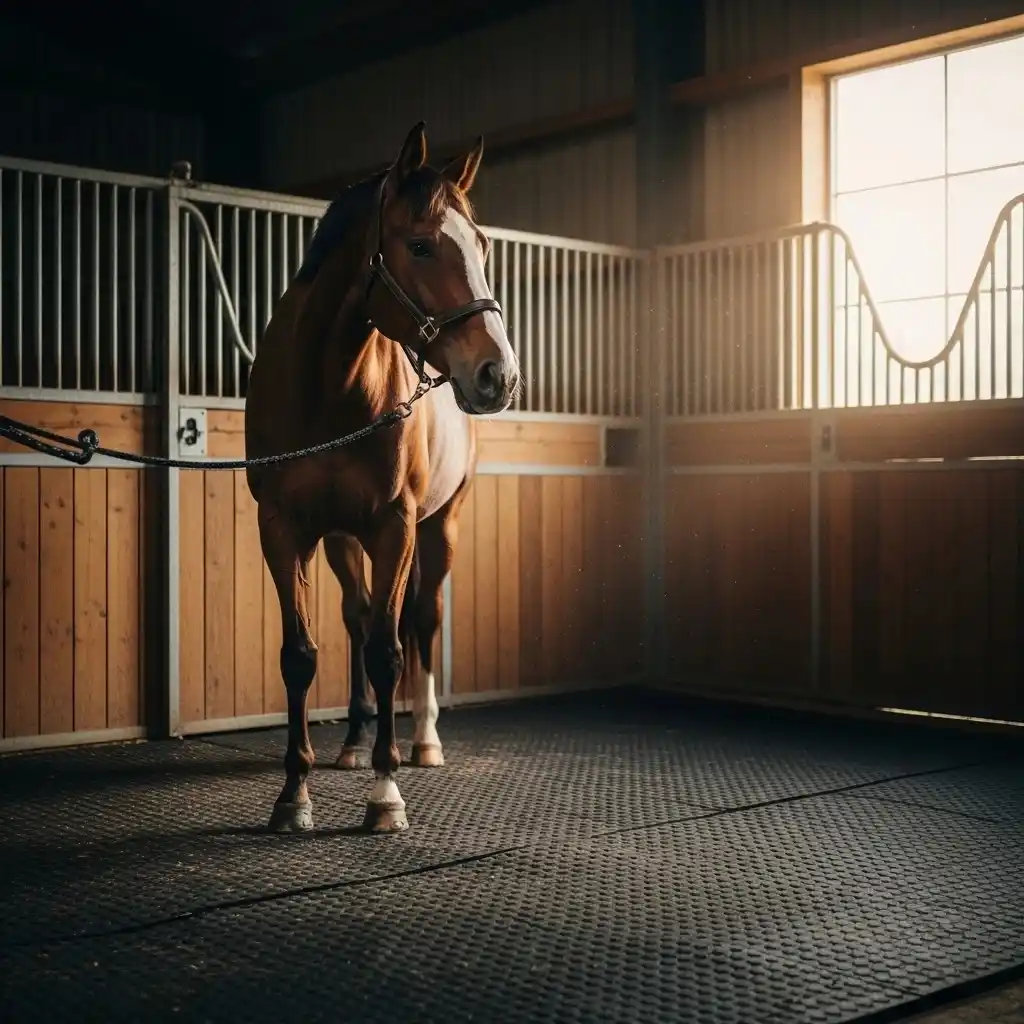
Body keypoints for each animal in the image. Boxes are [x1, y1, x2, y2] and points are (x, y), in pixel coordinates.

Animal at [244, 122, 520, 835]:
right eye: (420, 246)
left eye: (482, 246)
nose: (498, 375)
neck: (331, 390)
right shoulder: (283, 530)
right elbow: (301, 654)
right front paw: (295, 794)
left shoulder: (396, 527)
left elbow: (389, 650)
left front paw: (385, 795)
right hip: (344, 541)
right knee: (359, 615)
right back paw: (351, 744)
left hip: (439, 527)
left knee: (421, 618)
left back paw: (422, 741)